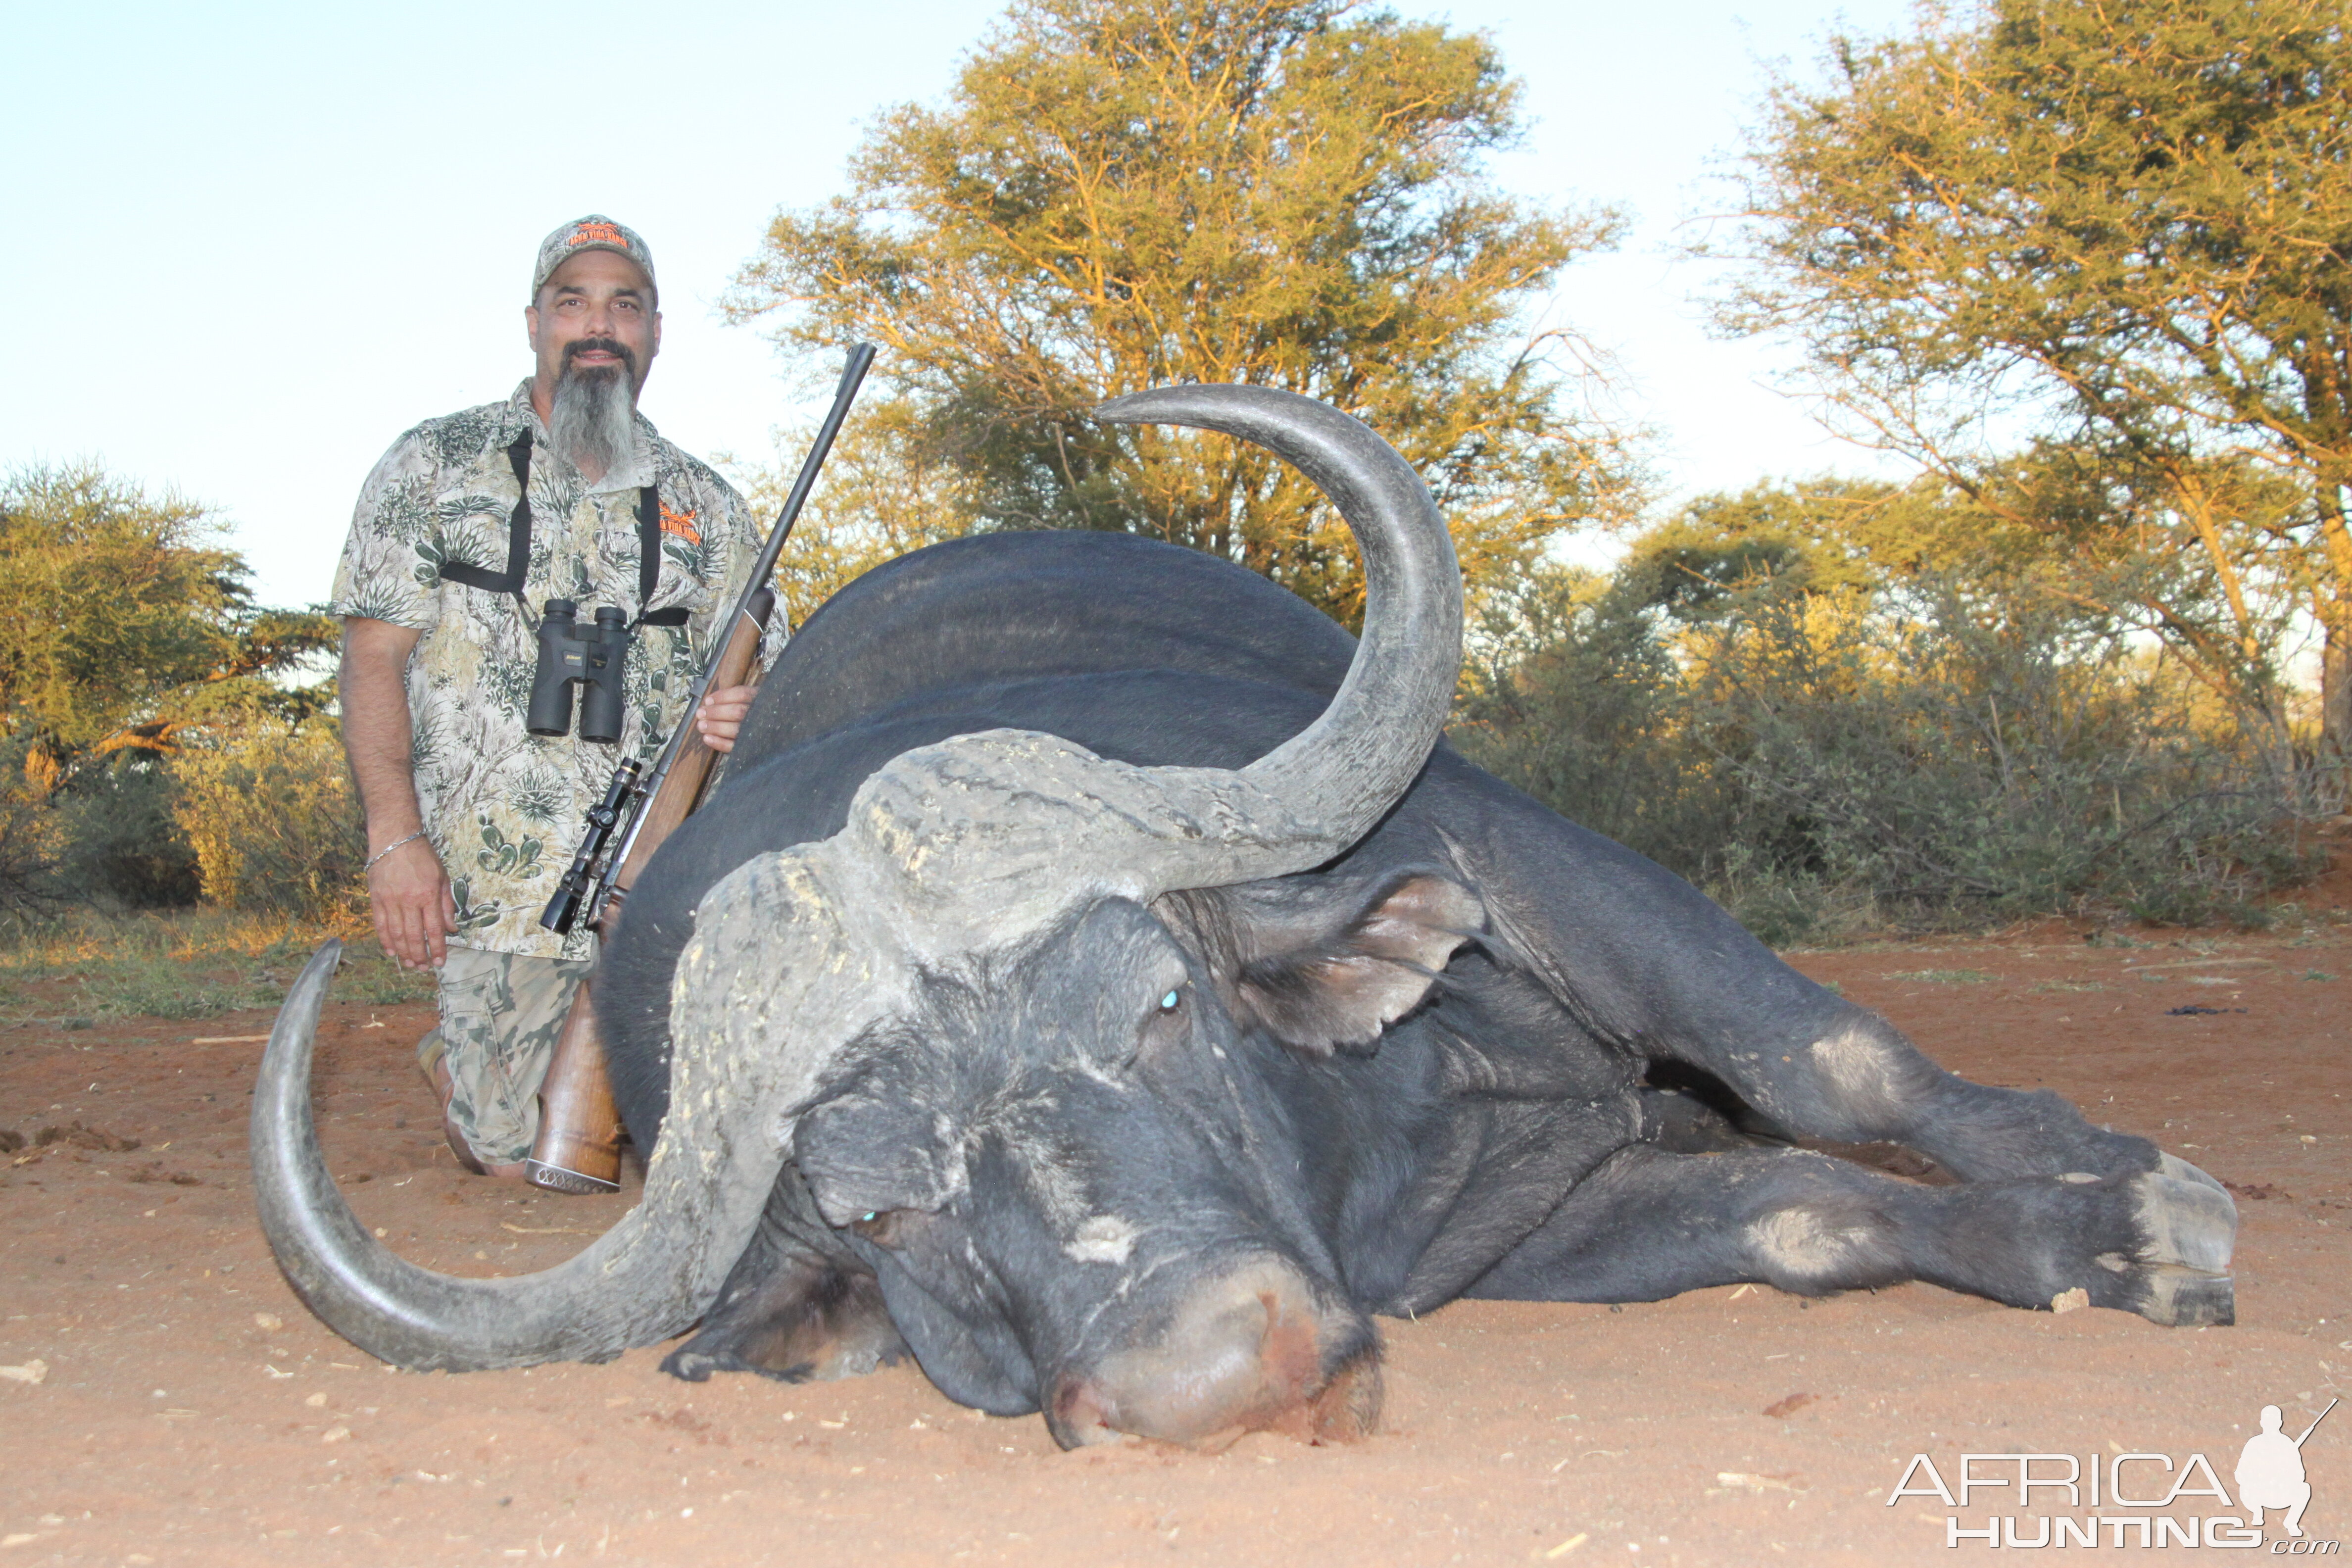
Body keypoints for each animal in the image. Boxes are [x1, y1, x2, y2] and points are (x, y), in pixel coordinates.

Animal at [248, 385, 2229, 1457]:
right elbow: (1811, 1223)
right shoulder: (1537, 1235)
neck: (1382, 1116)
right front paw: (2081, 1242)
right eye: (880, 1209)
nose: (1212, 1368)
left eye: (1162, 1010)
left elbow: (1833, 1063)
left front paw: (2138, 1199)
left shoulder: (1546, 874)